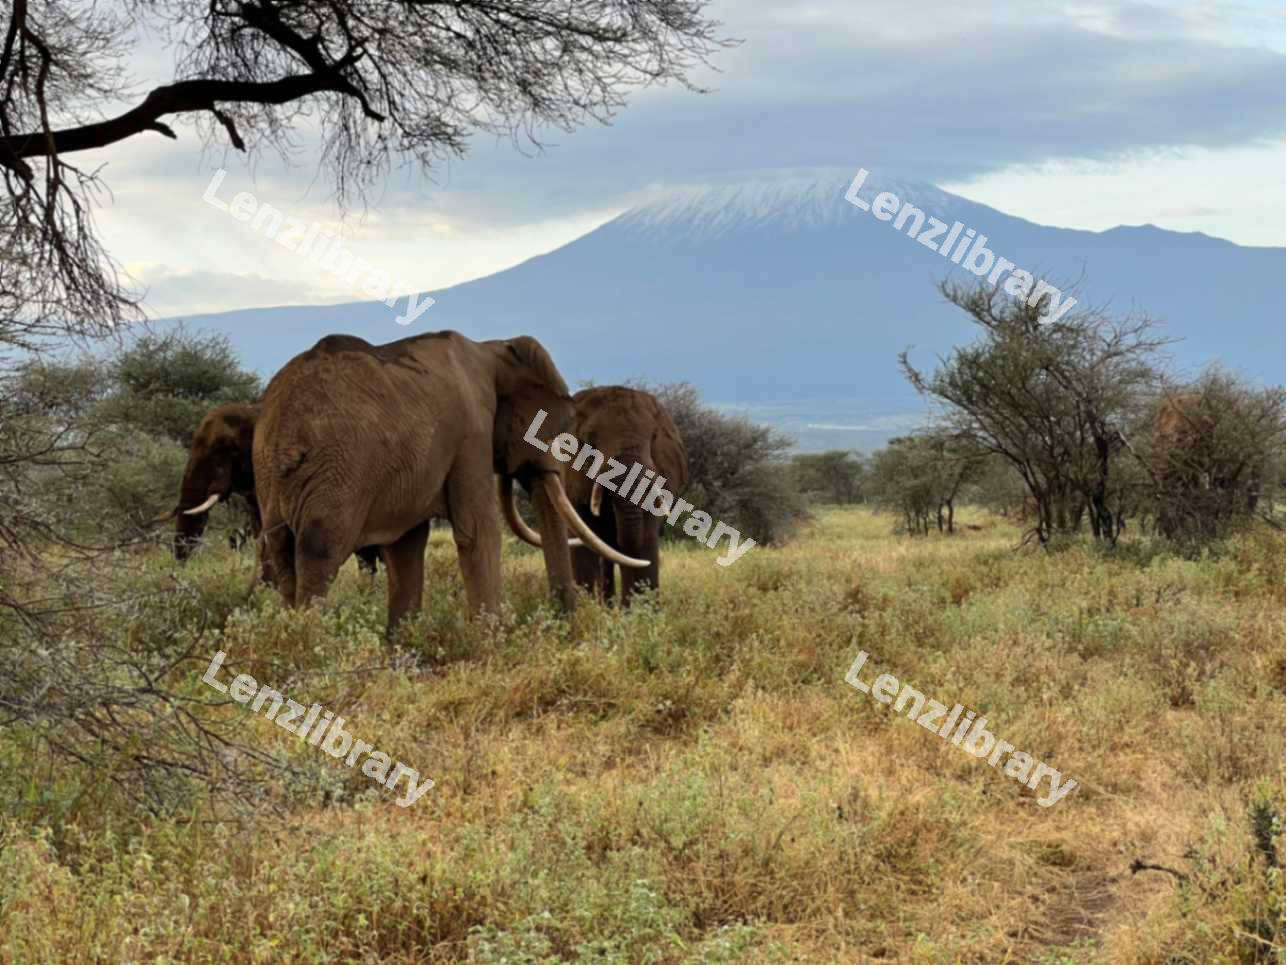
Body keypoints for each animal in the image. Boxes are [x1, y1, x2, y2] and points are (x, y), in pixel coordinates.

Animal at [252, 331, 643, 632]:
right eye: (556, 430)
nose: (567, 628)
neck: (493, 350)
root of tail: (284, 429)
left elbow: (407, 546)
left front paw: (402, 650)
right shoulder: (471, 433)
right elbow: (479, 531)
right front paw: (494, 645)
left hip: (270, 477)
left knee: (283, 557)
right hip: (338, 470)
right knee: (319, 554)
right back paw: (311, 646)